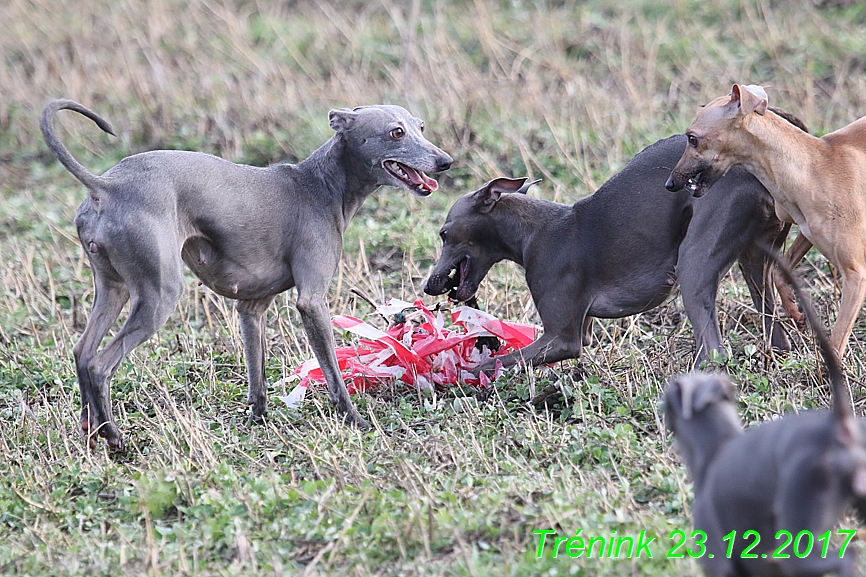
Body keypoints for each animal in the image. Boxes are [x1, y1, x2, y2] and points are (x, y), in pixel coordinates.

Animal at [42, 100, 452, 450]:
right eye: (396, 132)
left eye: (420, 126)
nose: (445, 161)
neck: (320, 184)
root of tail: (106, 186)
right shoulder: (312, 302)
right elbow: (333, 372)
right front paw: (354, 419)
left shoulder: (251, 308)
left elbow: (257, 372)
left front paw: (258, 417)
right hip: (159, 294)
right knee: (100, 364)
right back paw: (114, 437)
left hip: (113, 288)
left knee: (82, 353)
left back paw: (90, 431)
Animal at [426, 133, 788, 372]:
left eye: (443, 234)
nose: (429, 286)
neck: (532, 231)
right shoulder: (581, 330)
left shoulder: (563, 338)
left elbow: (493, 364)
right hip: (756, 261)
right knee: (774, 327)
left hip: (694, 264)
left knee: (713, 350)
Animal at [668, 84, 866, 358]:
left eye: (692, 138)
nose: (670, 183)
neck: (812, 167)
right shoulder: (806, 232)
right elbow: (779, 272)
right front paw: (795, 312)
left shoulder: (855, 275)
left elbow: (835, 345)